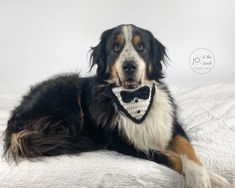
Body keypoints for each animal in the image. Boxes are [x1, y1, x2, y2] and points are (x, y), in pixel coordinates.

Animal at [3, 24, 229, 187]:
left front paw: (208, 177)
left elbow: (188, 152)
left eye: (141, 47)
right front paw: (209, 179)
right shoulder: (128, 144)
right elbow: (174, 159)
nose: (129, 66)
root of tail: (15, 116)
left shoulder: (172, 125)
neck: (136, 97)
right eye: (115, 47)